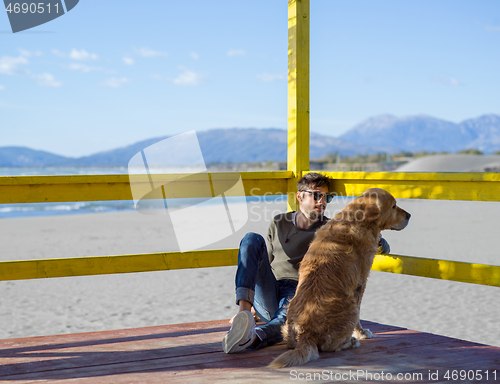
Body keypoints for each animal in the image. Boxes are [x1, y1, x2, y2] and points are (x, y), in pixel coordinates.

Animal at [270, 189, 410, 368]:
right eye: (393, 206)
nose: (409, 216)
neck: (358, 221)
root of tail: (305, 334)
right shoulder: (360, 282)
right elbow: (359, 316)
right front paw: (361, 333)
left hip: (288, 313)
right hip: (350, 307)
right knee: (332, 345)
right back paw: (351, 341)